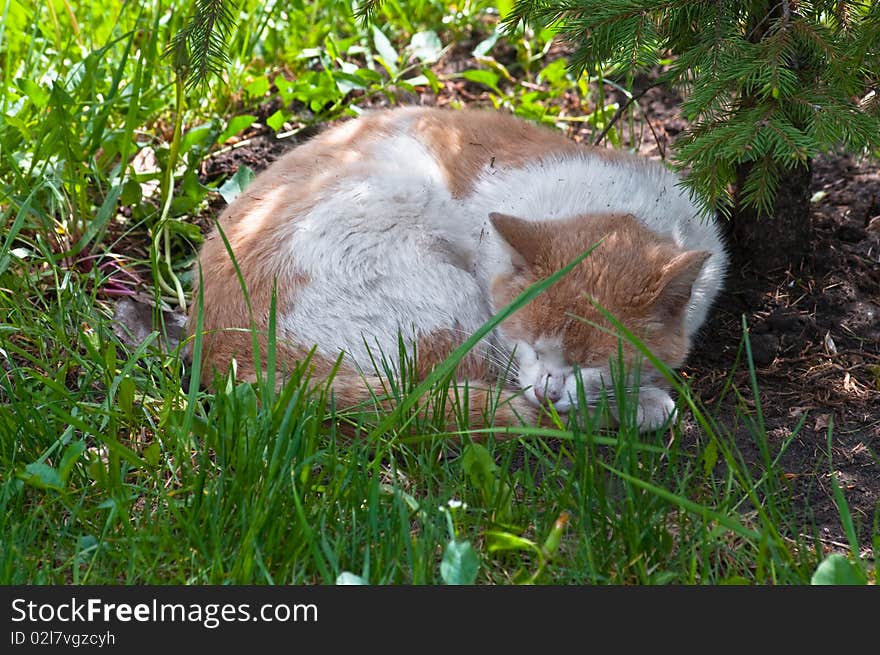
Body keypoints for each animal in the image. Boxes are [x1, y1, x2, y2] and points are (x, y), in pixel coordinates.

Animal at [194, 106, 728, 436]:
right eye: (530, 344)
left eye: (592, 363)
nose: (548, 390)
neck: (618, 207)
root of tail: (221, 350)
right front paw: (639, 399)